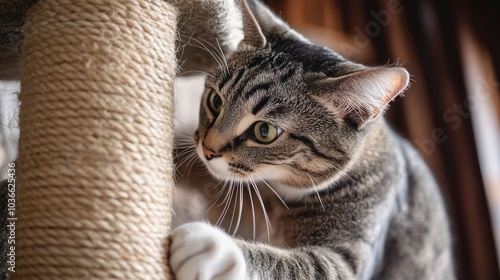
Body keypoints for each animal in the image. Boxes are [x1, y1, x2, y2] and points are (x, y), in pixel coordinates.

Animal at [170, 1, 456, 278]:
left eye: (265, 131)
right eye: (216, 101)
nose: (208, 150)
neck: (276, 195)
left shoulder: (349, 257)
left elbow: (295, 266)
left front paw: (211, 247)